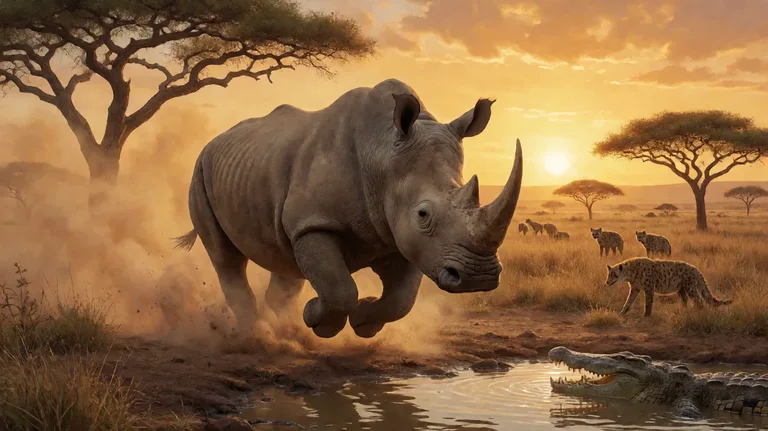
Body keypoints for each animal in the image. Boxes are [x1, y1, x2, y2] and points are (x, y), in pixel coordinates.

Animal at [173, 78, 523, 339]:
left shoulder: (402, 235)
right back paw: (257, 334)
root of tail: (214, 141)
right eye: (423, 214)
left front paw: (363, 322)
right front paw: (316, 319)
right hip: (200, 171)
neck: (382, 154)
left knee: (284, 259)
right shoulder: (316, 222)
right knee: (226, 259)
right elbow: (340, 289)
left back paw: (285, 330)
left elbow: (402, 300)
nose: (479, 276)